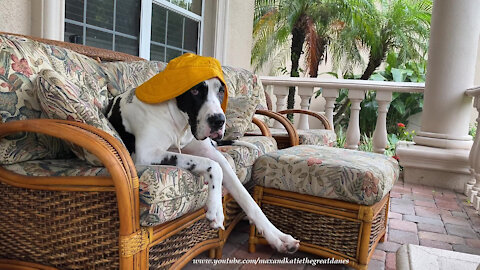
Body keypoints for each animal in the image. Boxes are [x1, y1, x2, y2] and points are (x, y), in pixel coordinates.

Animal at [107, 76, 298, 253]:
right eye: (195, 91)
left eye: (221, 91)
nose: (219, 121)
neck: (177, 119)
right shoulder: (147, 155)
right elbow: (214, 166)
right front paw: (216, 210)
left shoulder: (210, 152)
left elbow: (244, 195)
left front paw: (278, 237)